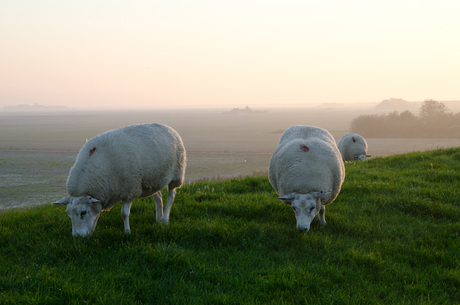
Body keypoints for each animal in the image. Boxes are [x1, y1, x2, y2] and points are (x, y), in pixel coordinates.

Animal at [54, 123, 188, 235]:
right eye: (68, 214)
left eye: (83, 212)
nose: (76, 236)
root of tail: (169, 127)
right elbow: (97, 214)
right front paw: (92, 230)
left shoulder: (130, 189)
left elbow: (124, 213)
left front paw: (127, 232)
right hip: (151, 181)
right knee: (158, 197)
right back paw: (158, 219)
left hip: (177, 173)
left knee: (171, 195)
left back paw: (165, 220)